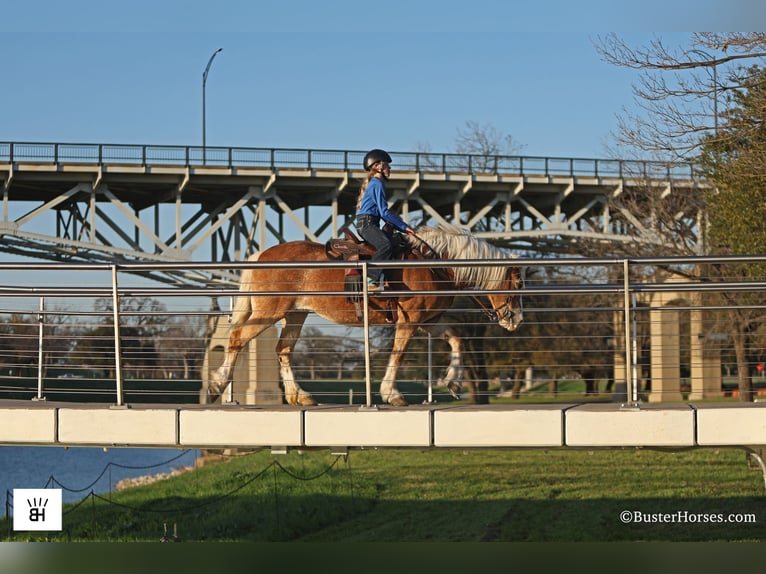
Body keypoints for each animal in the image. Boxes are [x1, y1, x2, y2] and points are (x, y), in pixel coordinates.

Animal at [207, 225, 524, 410]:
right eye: (518, 283)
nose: (516, 320)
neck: (434, 263)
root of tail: (260, 255)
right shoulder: (409, 321)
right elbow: (398, 354)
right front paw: (391, 394)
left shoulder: (429, 321)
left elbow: (457, 340)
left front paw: (454, 383)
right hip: (269, 312)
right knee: (237, 338)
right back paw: (217, 384)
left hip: (295, 314)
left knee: (283, 350)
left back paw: (300, 395)